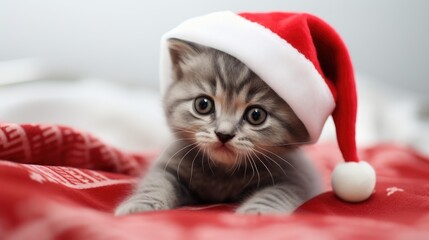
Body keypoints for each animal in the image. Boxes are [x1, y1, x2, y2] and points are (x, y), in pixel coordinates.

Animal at [114, 39, 320, 216]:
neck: (222, 173)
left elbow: (277, 193)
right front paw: (140, 205)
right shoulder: (167, 165)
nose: (224, 134)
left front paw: (258, 212)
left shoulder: (298, 178)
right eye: (203, 105)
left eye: (256, 115)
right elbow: (155, 183)